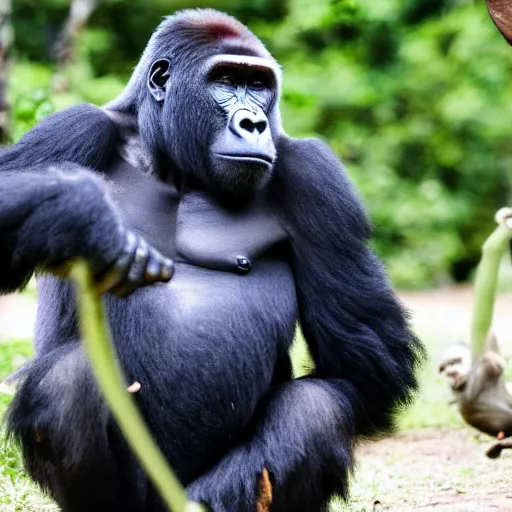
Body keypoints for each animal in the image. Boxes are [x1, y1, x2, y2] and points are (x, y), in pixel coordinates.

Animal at [0, 9, 424, 512]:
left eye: (258, 85)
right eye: (225, 80)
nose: (254, 123)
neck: (170, 160)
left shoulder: (315, 174)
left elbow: (365, 366)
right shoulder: (73, 128)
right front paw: (79, 213)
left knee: (317, 406)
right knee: (66, 384)